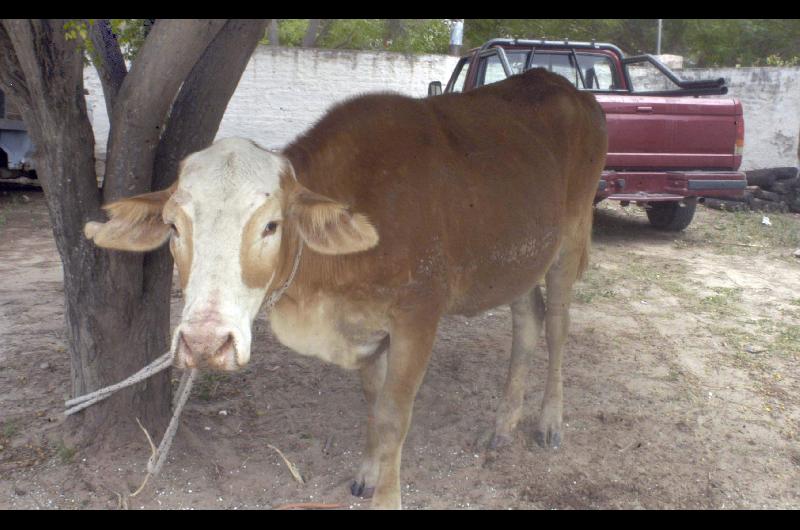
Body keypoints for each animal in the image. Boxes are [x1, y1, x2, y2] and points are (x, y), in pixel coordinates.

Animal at [84, 67, 608, 508]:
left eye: (271, 225)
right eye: (173, 226)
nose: (205, 343)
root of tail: (566, 86)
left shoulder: (418, 317)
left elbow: (395, 415)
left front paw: (388, 497)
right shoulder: (366, 329)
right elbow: (375, 406)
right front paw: (368, 475)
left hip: (569, 241)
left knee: (557, 327)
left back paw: (549, 422)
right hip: (520, 260)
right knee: (527, 324)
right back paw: (503, 424)